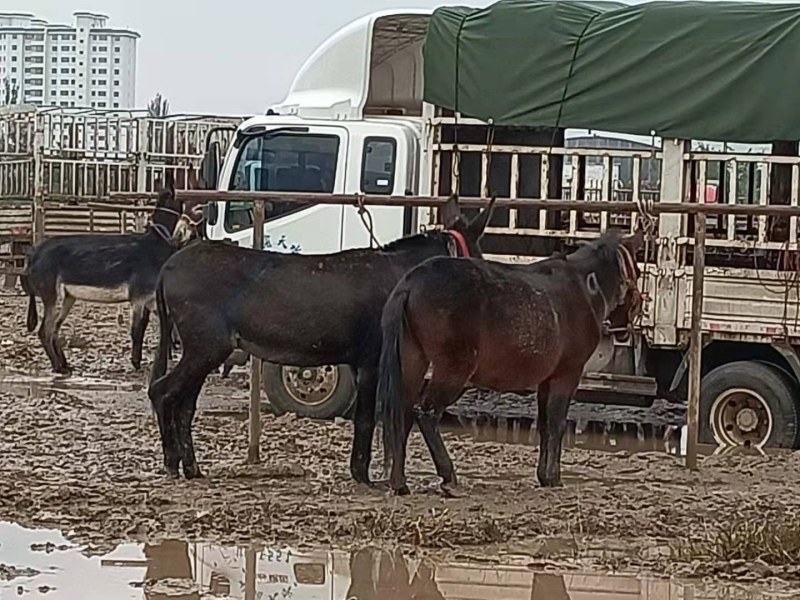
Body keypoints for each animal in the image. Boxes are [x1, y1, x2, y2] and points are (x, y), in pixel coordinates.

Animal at [21, 172, 200, 375]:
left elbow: (164, 325)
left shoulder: (151, 299)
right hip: (53, 296)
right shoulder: (138, 299)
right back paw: (58, 367)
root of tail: (34, 252)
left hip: (67, 297)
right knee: (45, 330)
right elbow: (137, 330)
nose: (186, 233)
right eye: (182, 198)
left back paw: (65, 365)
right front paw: (136, 363)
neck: (155, 244)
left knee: (54, 329)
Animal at [147, 197, 496, 481]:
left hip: (204, 350)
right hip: (205, 347)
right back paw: (171, 463)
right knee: (162, 392)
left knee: (184, 405)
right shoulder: (372, 360)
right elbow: (367, 418)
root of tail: (167, 267)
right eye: (478, 257)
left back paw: (192, 468)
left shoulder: (361, 363)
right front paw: (363, 476)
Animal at [378, 228, 645, 495]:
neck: (585, 288)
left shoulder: (547, 381)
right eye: (638, 272)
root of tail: (411, 283)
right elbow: (557, 423)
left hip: (413, 362)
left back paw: (399, 483)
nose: (626, 328)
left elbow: (545, 424)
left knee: (402, 413)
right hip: (452, 371)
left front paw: (544, 476)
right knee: (426, 413)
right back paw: (448, 477)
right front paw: (554, 477)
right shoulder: (567, 374)